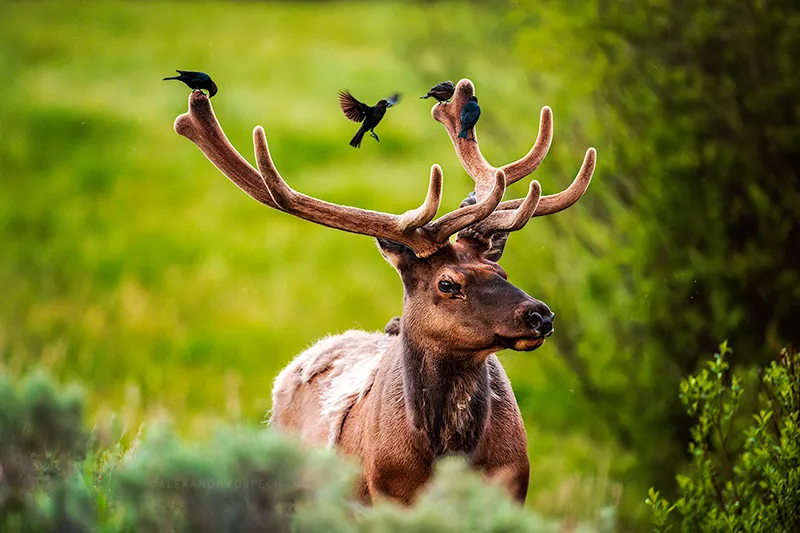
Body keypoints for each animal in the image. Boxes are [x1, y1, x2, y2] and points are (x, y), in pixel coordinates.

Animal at [172, 78, 596, 505]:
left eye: (501, 271)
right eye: (447, 283)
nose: (539, 314)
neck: (446, 454)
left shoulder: (512, 486)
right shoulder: (389, 494)